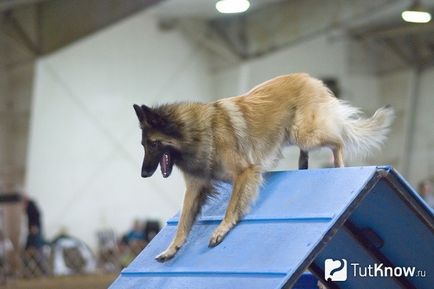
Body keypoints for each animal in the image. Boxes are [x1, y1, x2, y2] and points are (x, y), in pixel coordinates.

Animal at [132, 72, 394, 260]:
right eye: (143, 145)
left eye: (153, 144)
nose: (143, 174)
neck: (195, 132)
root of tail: (310, 78)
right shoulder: (196, 187)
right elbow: (183, 223)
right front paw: (171, 249)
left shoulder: (244, 172)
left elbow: (232, 206)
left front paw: (222, 229)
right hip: (296, 135)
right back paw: (303, 165)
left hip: (304, 132)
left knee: (338, 139)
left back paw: (339, 165)